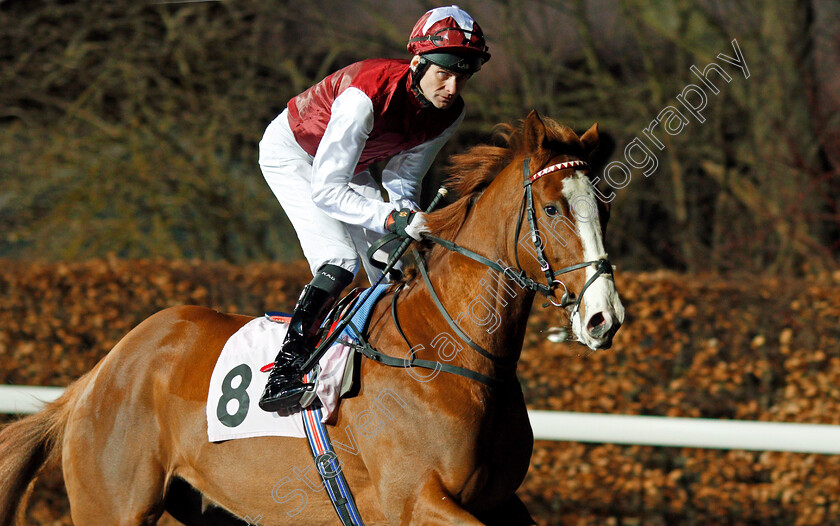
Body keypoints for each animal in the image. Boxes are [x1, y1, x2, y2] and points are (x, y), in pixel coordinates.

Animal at [0, 110, 620, 524]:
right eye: (552, 208)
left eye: (603, 207)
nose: (603, 318)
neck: (450, 353)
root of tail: (98, 376)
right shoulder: (413, 500)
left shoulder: (498, 502)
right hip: (113, 505)